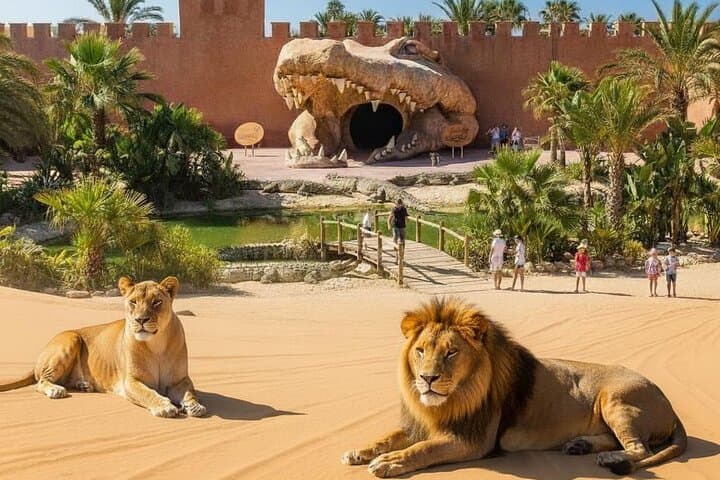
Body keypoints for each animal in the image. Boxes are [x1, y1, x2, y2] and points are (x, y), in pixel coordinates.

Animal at [0, 276, 206, 418]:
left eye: (156, 302)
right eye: (133, 302)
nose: (140, 319)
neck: (157, 346)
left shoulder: (180, 380)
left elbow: (190, 392)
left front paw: (194, 406)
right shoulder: (130, 381)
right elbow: (148, 394)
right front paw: (165, 406)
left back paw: (83, 385)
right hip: (71, 338)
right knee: (41, 381)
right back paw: (56, 390)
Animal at [342, 297, 686, 477]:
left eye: (451, 352)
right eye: (420, 351)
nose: (427, 379)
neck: (451, 399)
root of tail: (667, 401)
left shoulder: (473, 440)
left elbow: (425, 448)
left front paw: (390, 462)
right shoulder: (422, 423)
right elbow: (388, 437)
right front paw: (360, 451)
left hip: (615, 399)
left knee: (640, 448)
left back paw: (611, 461)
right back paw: (579, 446)